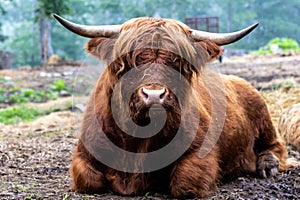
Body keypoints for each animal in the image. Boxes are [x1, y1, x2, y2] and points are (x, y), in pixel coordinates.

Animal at [54, 14, 290, 198]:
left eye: (177, 62)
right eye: (130, 61)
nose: (154, 95)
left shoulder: (201, 153)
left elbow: (185, 183)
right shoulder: (84, 153)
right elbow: (88, 180)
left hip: (263, 113)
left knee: (275, 144)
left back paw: (267, 165)